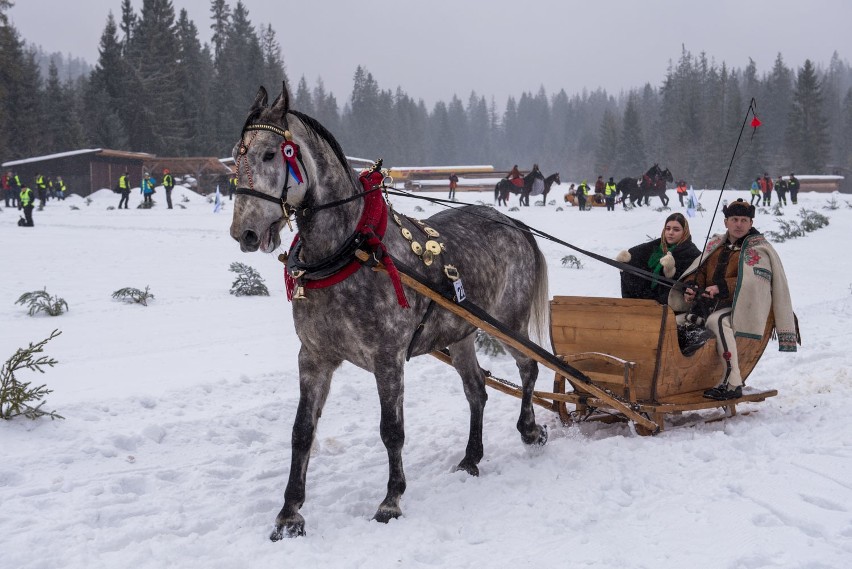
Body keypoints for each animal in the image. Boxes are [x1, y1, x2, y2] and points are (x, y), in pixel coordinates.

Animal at [230, 82, 548, 540]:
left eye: (272, 154)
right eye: (236, 154)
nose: (245, 233)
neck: (349, 249)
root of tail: (513, 223)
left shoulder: (387, 357)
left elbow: (391, 431)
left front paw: (391, 500)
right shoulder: (314, 357)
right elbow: (302, 432)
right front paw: (289, 514)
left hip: (508, 323)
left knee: (529, 369)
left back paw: (529, 429)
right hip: (462, 334)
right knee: (477, 390)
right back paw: (471, 458)